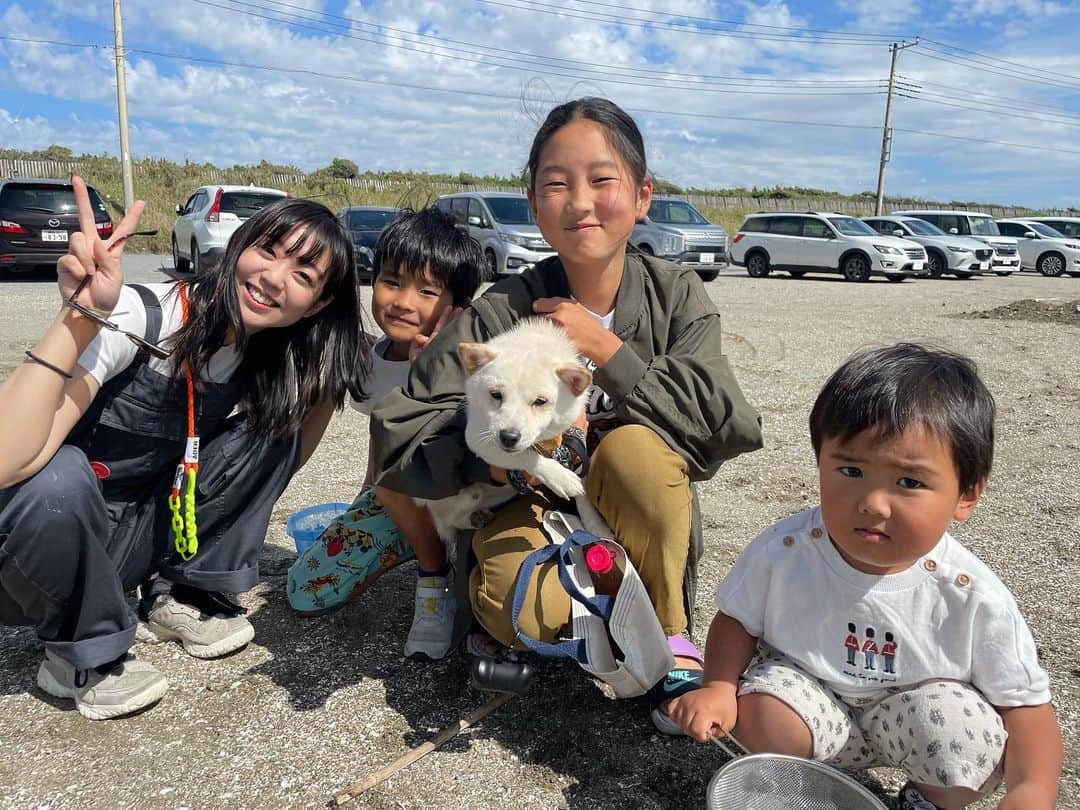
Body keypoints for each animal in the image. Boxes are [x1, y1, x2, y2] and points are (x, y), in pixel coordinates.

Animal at [416, 317, 613, 546]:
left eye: (540, 401)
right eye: (495, 394)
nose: (508, 437)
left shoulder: (574, 445)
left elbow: (583, 491)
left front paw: (595, 525)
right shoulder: (478, 438)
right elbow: (525, 456)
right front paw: (558, 476)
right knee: (450, 522)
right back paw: (475, 518)